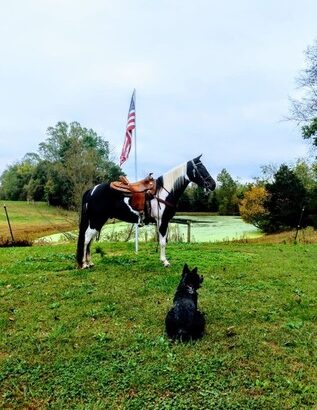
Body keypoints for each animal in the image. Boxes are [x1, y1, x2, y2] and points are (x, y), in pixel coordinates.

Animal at [76, 155, 215, 268]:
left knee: (89, 239)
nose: (212, 184)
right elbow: (163, 242)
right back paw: (84, 264)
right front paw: (165, 261)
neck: (163, 192)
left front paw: (162, 259)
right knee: (87, 238)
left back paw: (89, 262)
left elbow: (163, 241)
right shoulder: (162, 221)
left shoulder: (164, 222)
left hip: (98, 221)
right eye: (200, 167)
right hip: (96, 220)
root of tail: (91, 190)